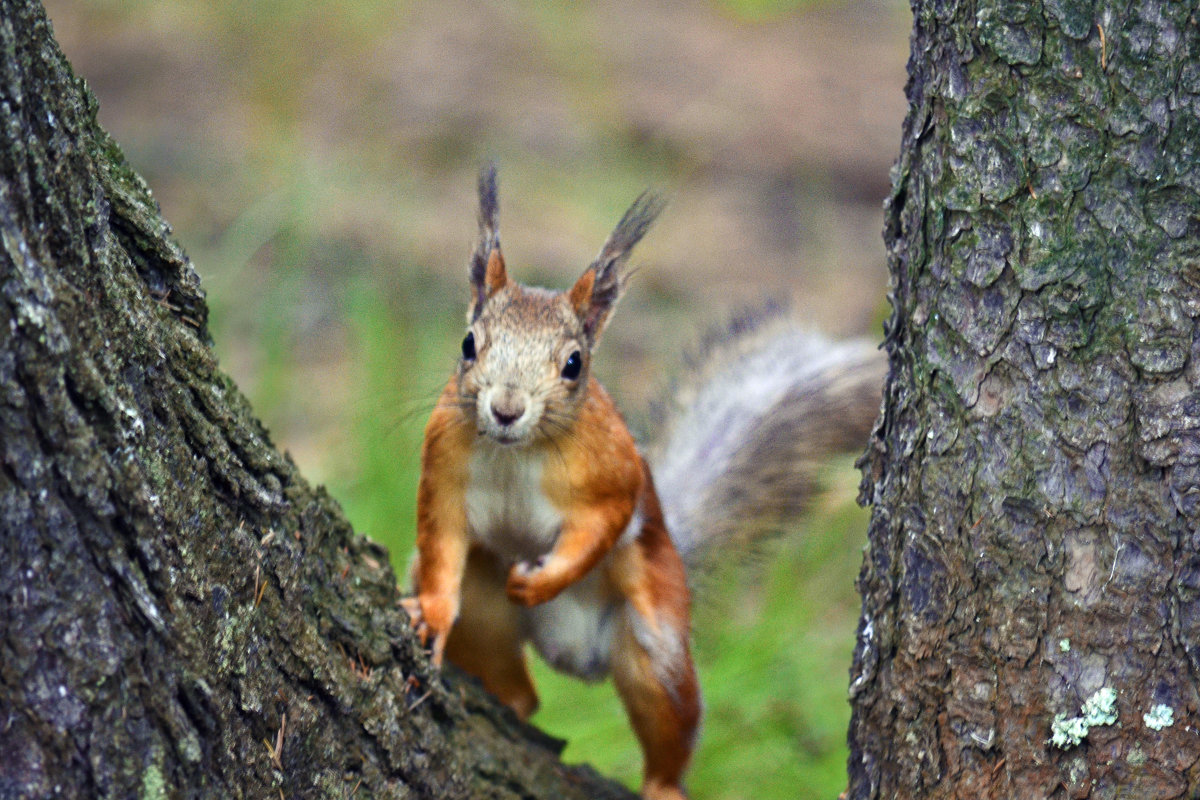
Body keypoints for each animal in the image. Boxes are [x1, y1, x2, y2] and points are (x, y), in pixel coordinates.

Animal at [403, 164, 883, 800]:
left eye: (574, 364)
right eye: (468, 344)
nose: (505, 409)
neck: (516, 453)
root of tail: (574, 653)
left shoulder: (616, 474)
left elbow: (598, 530)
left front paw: (542, 579)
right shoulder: (445, 469)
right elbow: (439, 543)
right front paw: (431, 613)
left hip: (656, 641)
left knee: (670, 718)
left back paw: (663, 784)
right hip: (485, 606)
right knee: (520, 685)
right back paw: (507, 696)